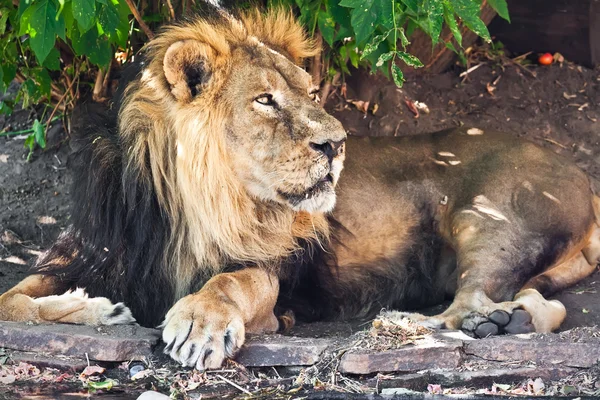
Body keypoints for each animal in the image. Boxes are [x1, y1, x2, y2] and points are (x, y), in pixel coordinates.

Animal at [1, 7, 600, 372]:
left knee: (467, 301)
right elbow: (11, 301)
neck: (187, 206)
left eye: (312, 93)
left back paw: (406, 324)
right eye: (266, 100)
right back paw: (511, 320)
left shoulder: (271, 276)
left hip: (490, 217)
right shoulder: (84, 253)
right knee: (538, 303)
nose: (337, 143)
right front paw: (97, 310)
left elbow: (231, 281)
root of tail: (584, 178)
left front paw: (199, 322)